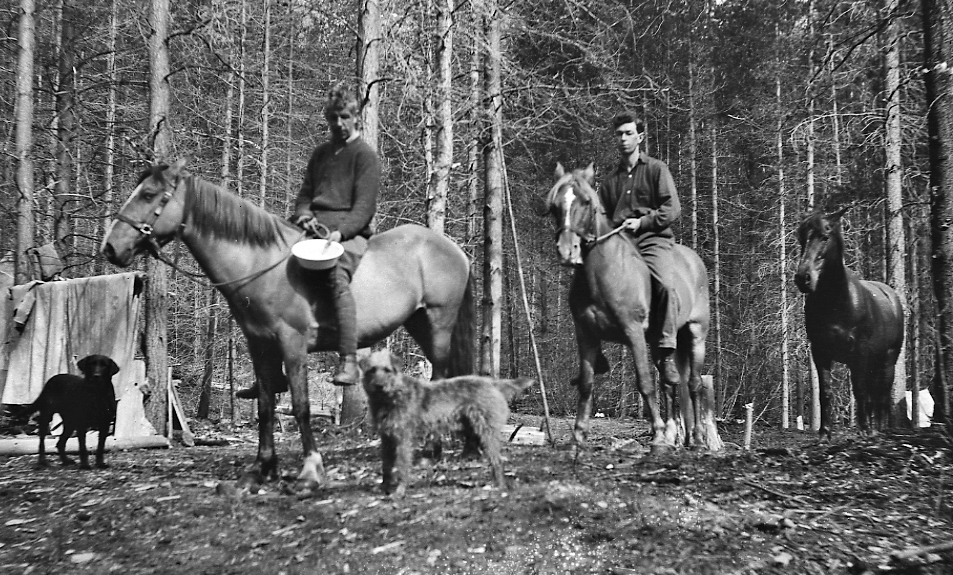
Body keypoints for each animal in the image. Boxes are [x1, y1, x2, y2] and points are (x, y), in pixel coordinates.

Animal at [102, 161, 474, 490]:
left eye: (149, 194)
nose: (110, 248)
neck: (261, 266)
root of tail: (453, 249)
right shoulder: (260, 345)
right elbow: (266, 407)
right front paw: (262, 468)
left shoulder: (292, 344)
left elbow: (301, 406)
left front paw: (310, 469)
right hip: (419, 324)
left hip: (438, 323)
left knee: (442, 377)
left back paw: (434, 449)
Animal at [548, 164, 712, 452]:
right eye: (556, 205)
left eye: (586, 202)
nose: (567, 251)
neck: (602, 274)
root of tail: (695, 261)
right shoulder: (586, 335)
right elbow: (586, 384)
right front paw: (578, 436)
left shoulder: (633, 332)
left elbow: (644, 383)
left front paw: (657, 433)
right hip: (659, 342)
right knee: (670, 382)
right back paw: (675, 437)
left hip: (695, 335)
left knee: (693, 384)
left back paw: (698, 440)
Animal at [796, 209, 900, 438]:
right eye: (801, 238)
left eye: (825, 237)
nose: (802, 278)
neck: (837, 303)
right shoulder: (820, 352)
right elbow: (826, 391)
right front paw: (825, 433)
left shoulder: (858, 353)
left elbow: (859, 390)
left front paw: (863, 431)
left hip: (888, 360)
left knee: (881, 395)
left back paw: (878, 430)